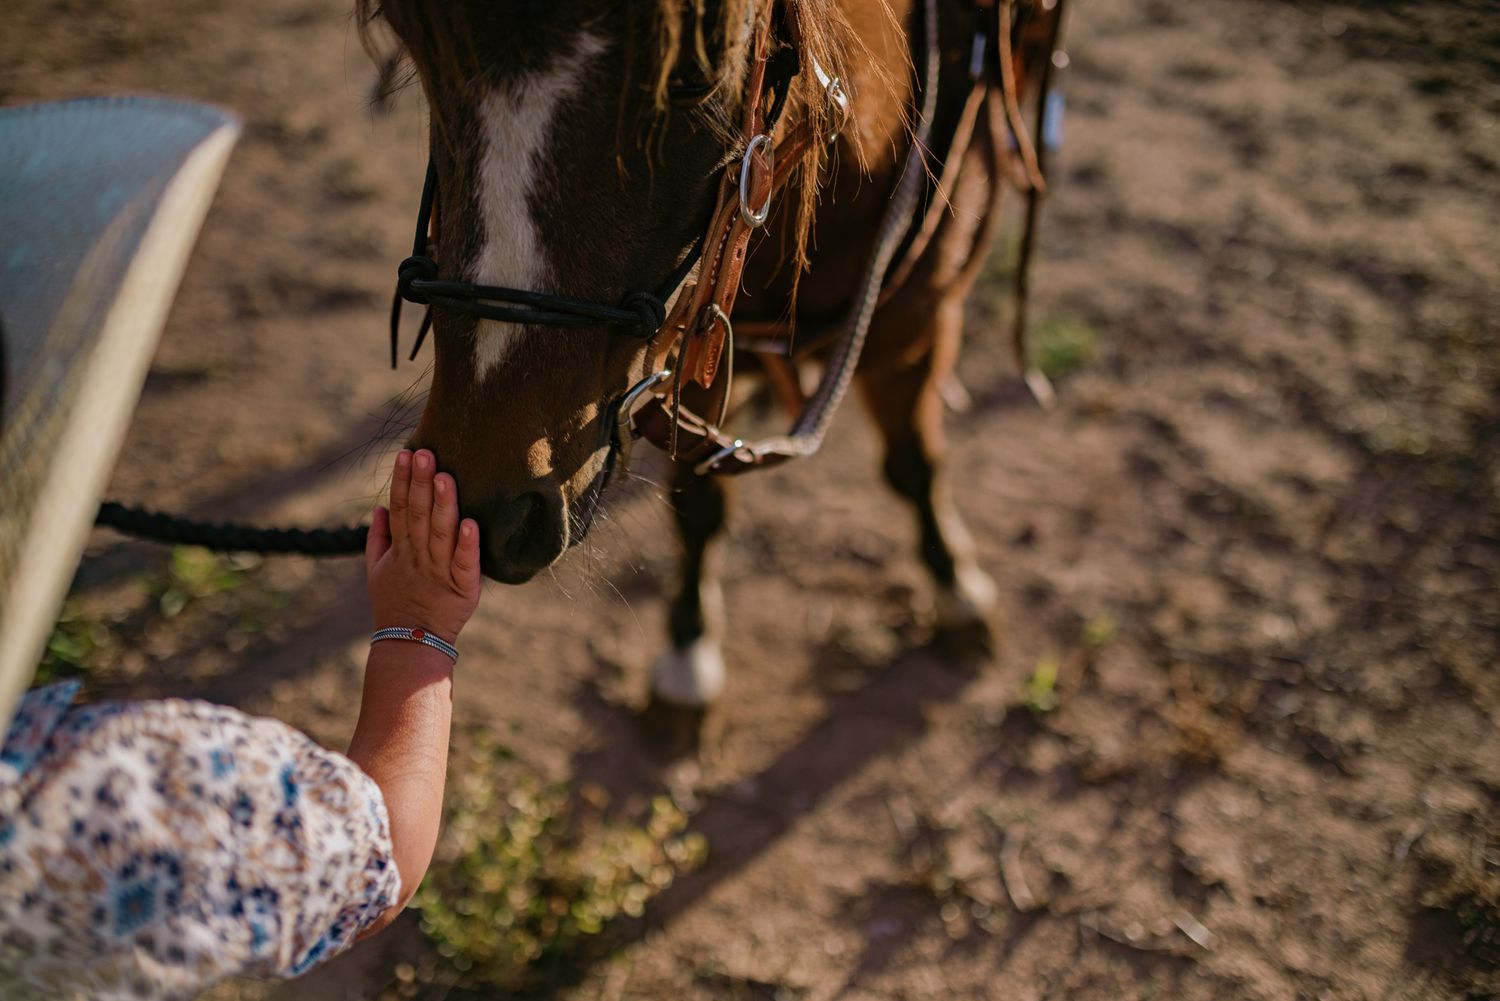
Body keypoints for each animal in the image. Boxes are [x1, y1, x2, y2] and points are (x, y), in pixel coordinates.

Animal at [362, 0, 1063, 723]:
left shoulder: (914, 329)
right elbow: (699, 503)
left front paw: (955, 585)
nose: (488, 505)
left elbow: (914, 464)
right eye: (416, 45)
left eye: (693, 78)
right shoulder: (696, 344)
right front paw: (689, 650)